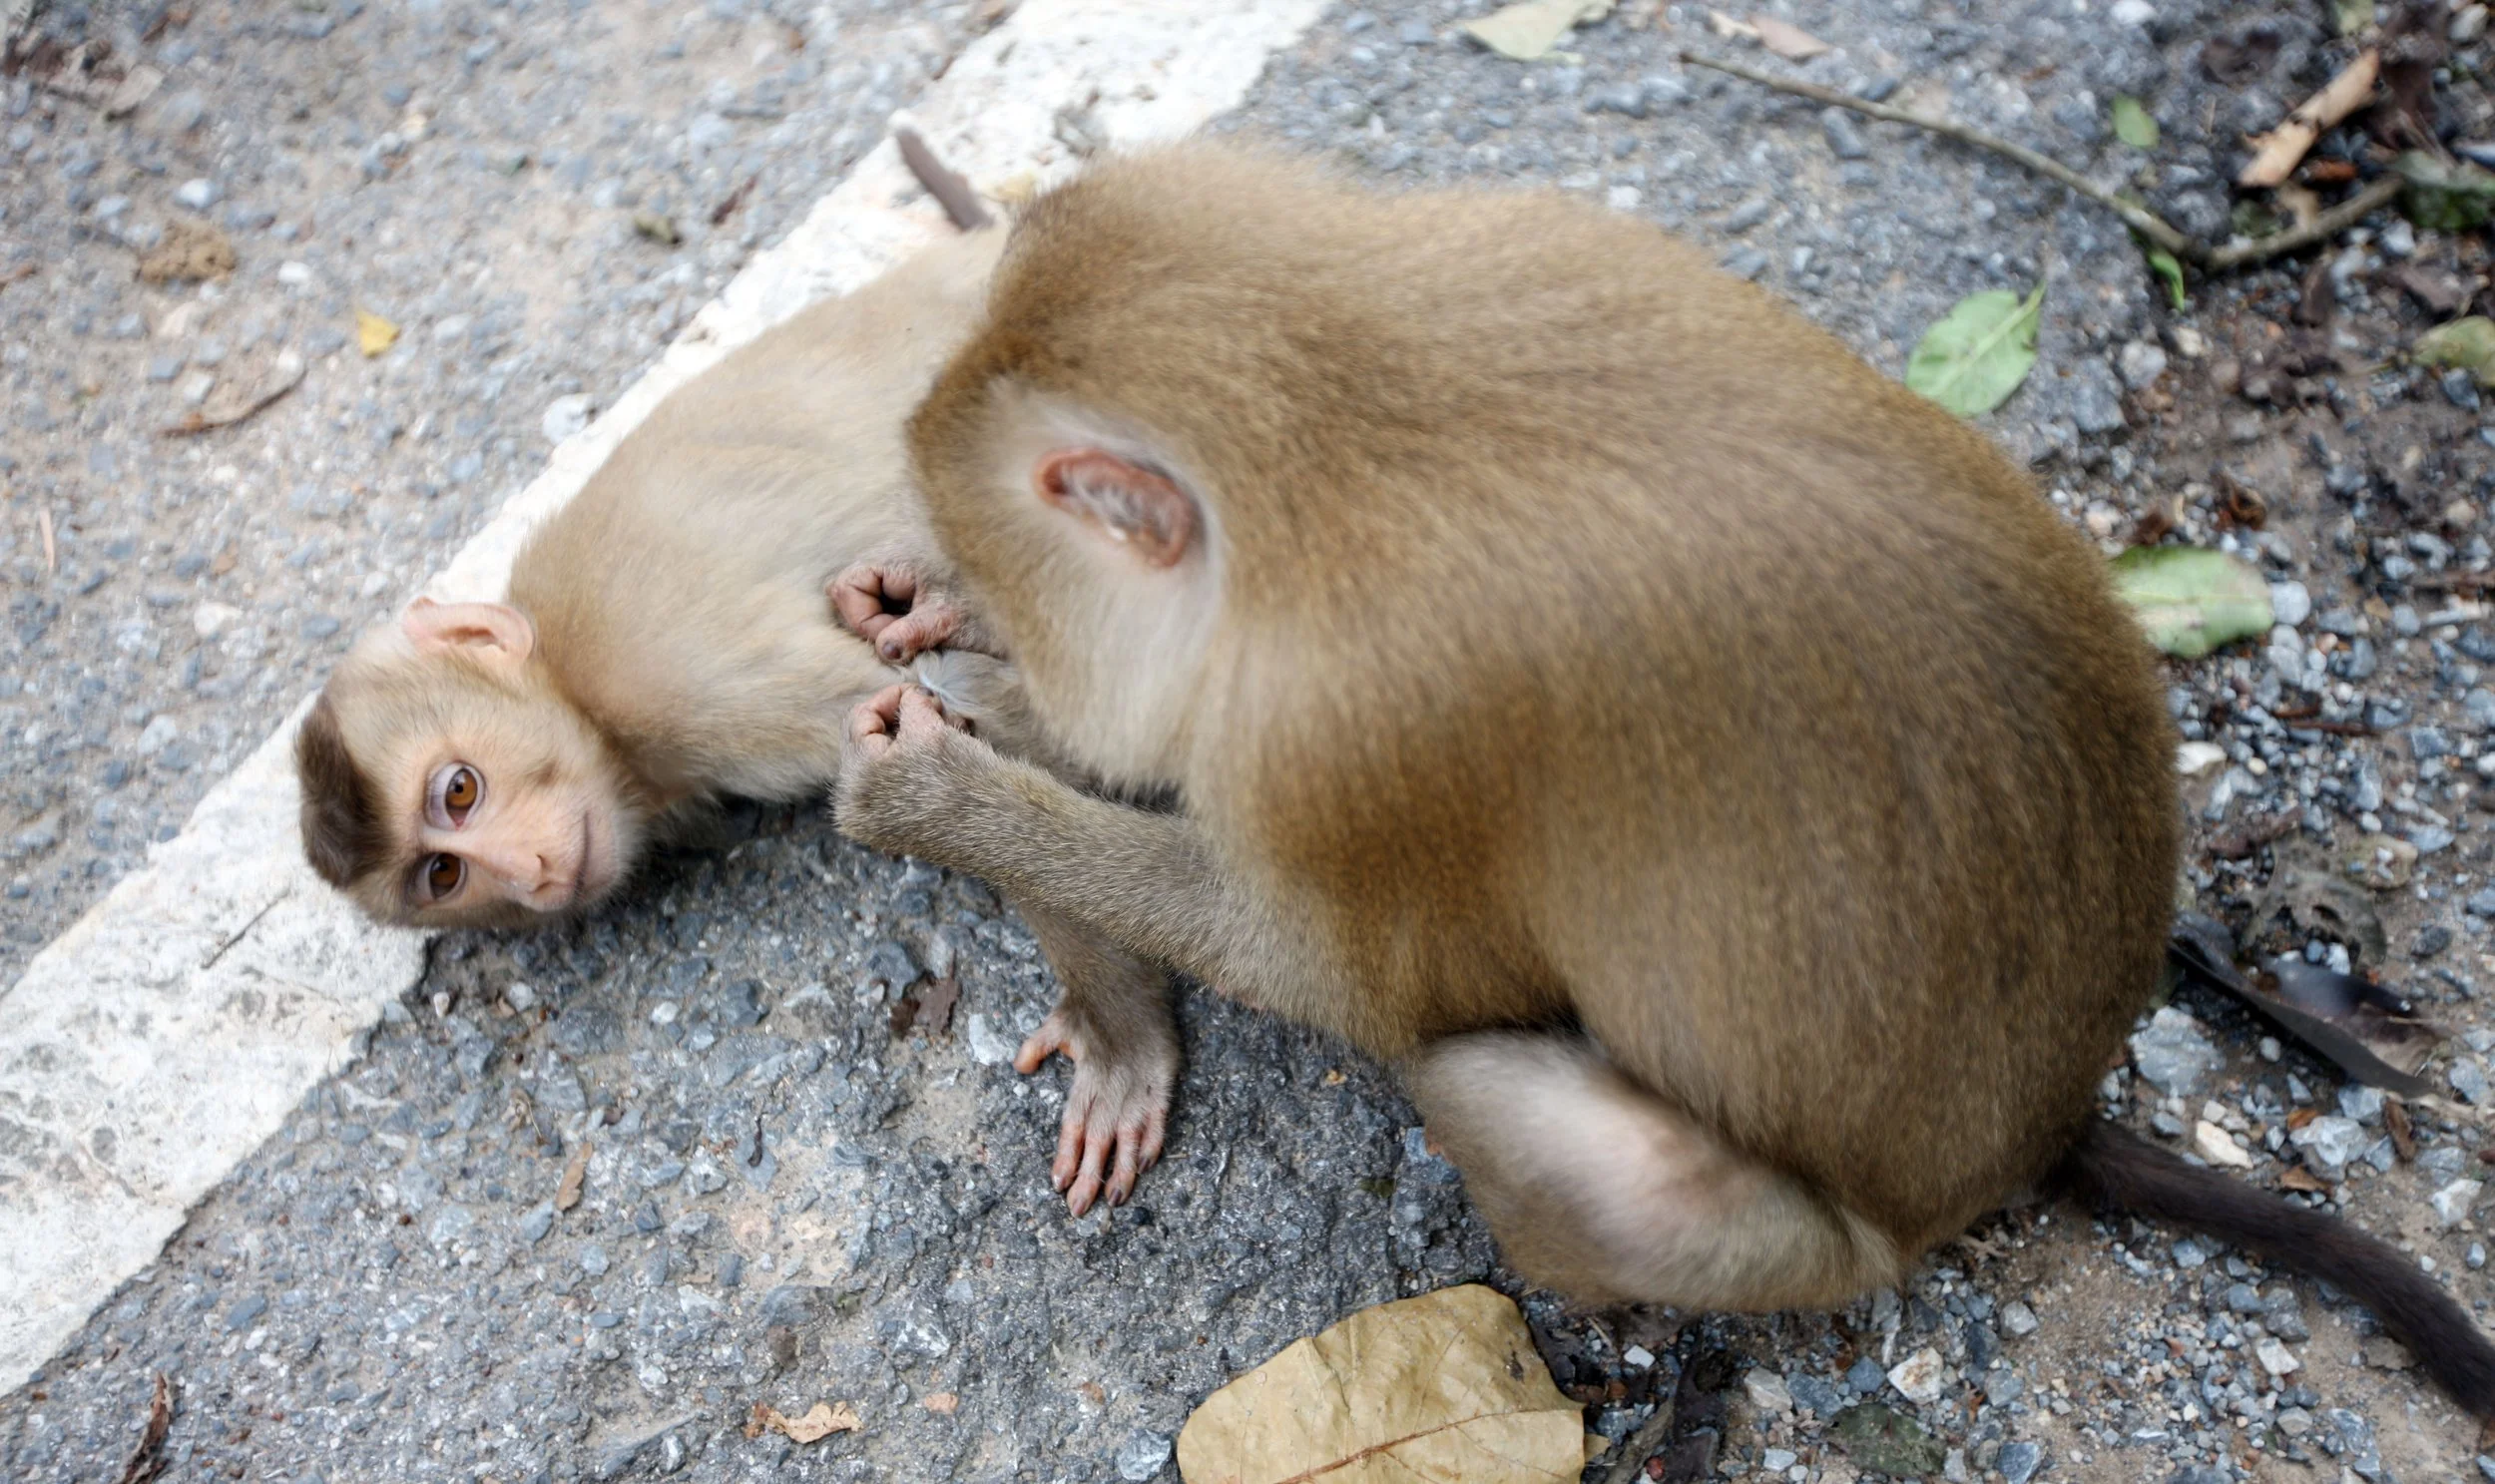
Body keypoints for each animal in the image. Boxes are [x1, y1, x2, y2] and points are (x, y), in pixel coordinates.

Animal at [294, 176, 1176, 1217]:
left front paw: (1117, 1032)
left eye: (460, 790)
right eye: (443, 875)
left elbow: (953, 721)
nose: (532, 873)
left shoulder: (679, 675)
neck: (577, 693)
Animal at [831, 142, 2495, 1416]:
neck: (1332, 399)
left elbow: (1358, 982)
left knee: (1489, 1089)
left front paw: (948, 786)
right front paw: (935, 648)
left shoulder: (1352, 740)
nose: (987, 619)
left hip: (1814, 1240)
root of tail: (2039, 1125)